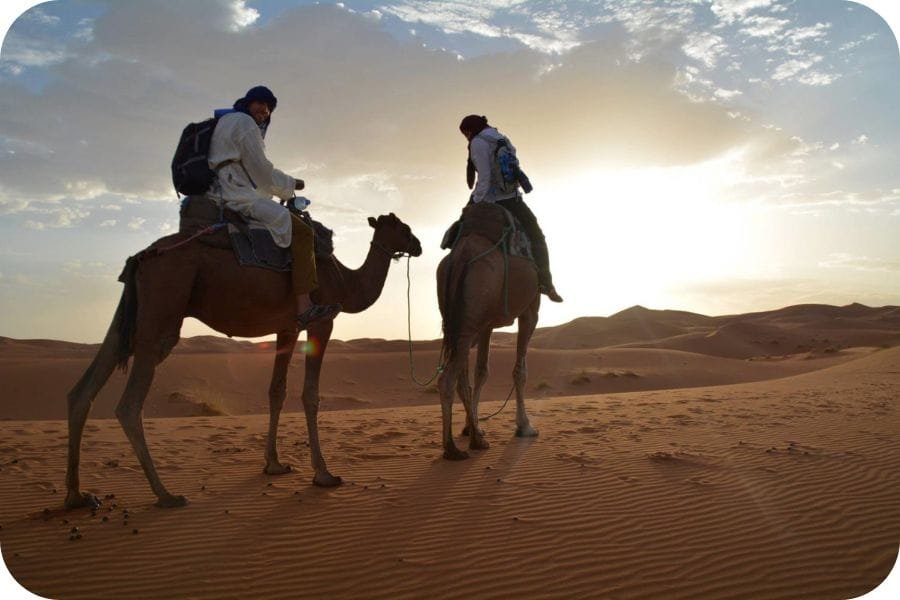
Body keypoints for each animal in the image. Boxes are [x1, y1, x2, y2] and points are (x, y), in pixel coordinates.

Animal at [63, 213, 422, 508]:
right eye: (403, 228)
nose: (418, 245)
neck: (346, 282)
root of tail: (141, 257)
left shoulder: (287, 327)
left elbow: (276, 390)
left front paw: (274, 464)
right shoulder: (322, 321)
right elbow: (310, 394)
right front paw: (324, 474)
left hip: (132, 309)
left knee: (84, 388)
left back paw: (77, 496)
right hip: (162, 309)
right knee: (129, 403)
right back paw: (165, 494)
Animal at [438, 206, 540, 460]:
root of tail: (462, 254)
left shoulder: (486, 326)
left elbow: (481, 372)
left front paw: (471, 427)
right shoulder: (530, 311)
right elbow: (520, 371)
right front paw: (525, 426)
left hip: (458, 320)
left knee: (459, 377)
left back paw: (472, 437)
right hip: (471, 317)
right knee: (448, 379)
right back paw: (453, 448)